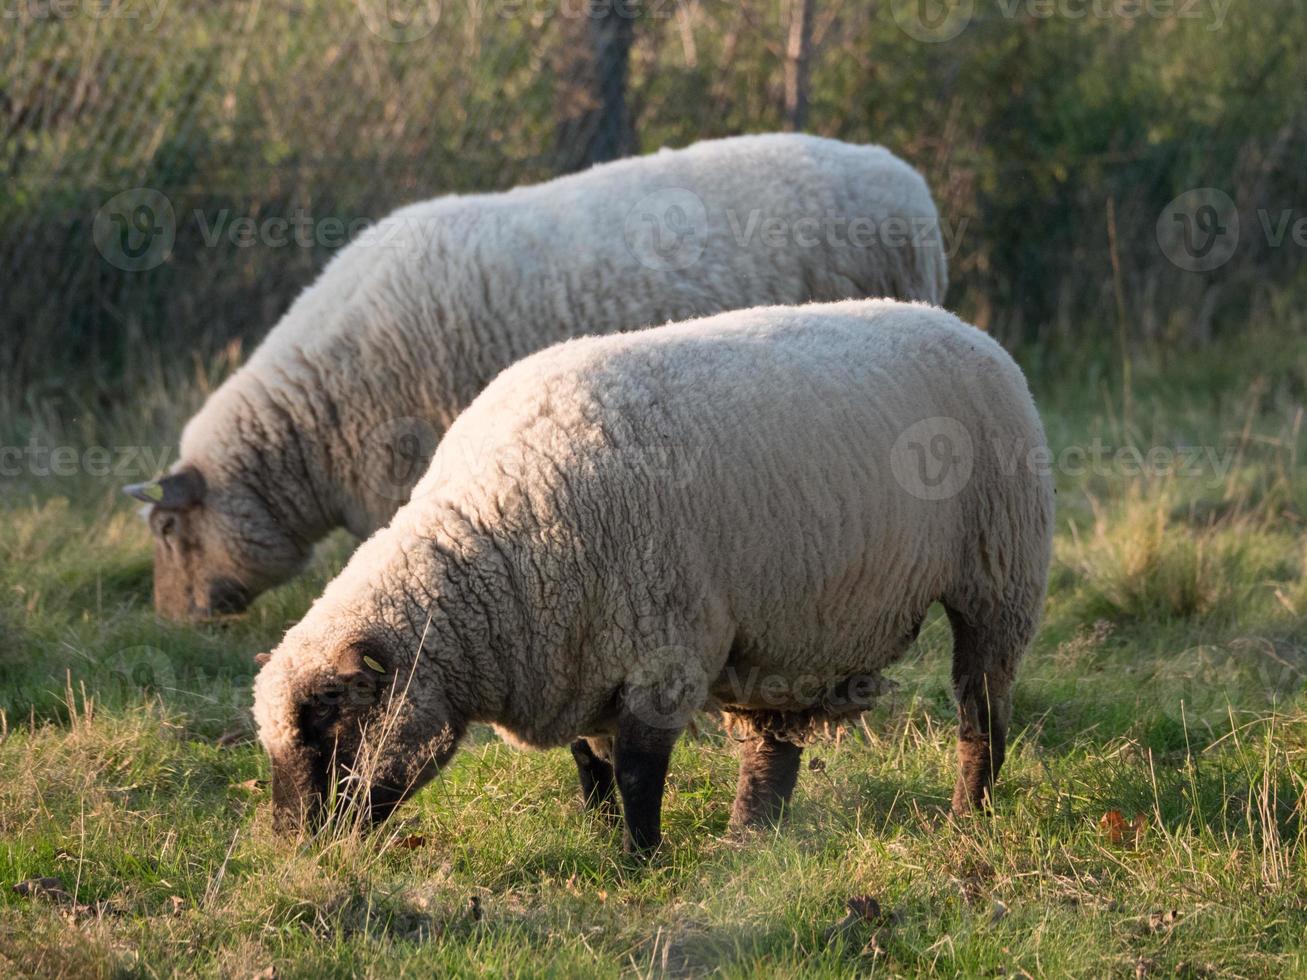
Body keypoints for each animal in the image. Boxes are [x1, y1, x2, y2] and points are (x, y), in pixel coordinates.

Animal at [252, 301, 1050, 857]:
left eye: (327, 720)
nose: (293, 850)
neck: (497, 543)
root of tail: (960, 324)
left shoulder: (660, 651)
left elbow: (638, 770)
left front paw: (640, 859)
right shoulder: (579, 658)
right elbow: (594, 765)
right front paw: (608, 839)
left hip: (999, 575)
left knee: (981, 709)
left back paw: (967, 814)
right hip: (786, 626)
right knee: (771, 745)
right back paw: (748, 840)